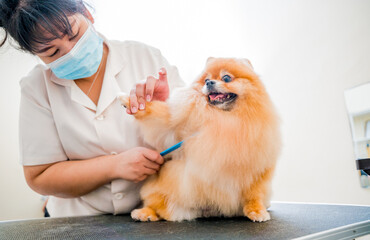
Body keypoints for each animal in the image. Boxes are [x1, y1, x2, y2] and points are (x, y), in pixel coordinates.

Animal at [118, 57, 280, 222]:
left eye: (226, 78)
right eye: (206, 80)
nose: (209, 83)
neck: (223, 116)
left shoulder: (258, 170)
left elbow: (254, 195)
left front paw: (256, 210)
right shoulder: (174, 127)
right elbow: (158, 114)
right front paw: (131, 101)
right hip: (164, 190)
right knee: (158, 206)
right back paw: (146, 213)